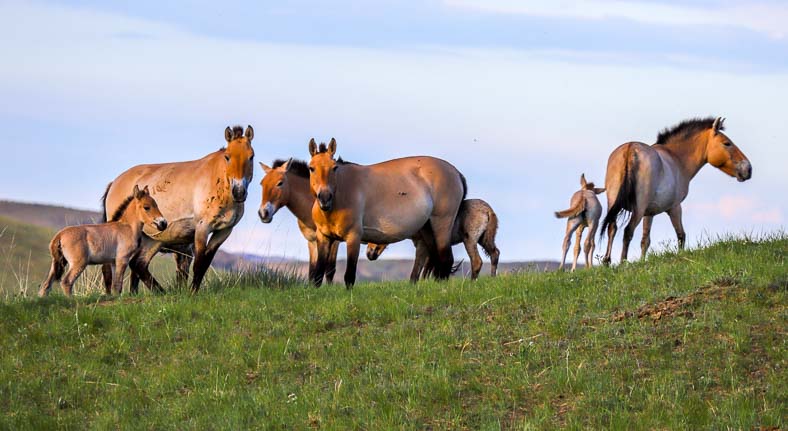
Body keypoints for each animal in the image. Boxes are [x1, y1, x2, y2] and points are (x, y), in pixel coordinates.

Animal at [101, 125, 254, 294]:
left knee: (138, 265)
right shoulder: (202, 228)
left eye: (251, 157)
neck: (218, 182)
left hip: (153, 238)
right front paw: (192, 293)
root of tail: (114, 183)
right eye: (227, 157)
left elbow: (205, 262)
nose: (239, 192)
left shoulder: (224, 231)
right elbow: (199, 263)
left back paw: (157, 292)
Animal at [308, 140, 468, 288]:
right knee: (435, 260)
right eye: (311, 168)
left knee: (446, 260)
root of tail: (456, 173)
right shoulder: (323, 238)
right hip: (427, 229)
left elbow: (349, 277)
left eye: (334, 168)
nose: (324, 198)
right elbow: (318, 275)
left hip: (442, 225)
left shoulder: (353, 237)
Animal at [600, 116, 756, 264]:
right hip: (638, 209)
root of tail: (630, 149)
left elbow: (645, 241)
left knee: (612, 228)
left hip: (615, 204)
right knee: (628, 231)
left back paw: (607, 261)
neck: (677, 159)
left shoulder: (649, 213)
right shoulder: (674, 207)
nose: (748, 169)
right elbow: (681, 235)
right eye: (727, 143)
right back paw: (623, 262)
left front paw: (642, 262)